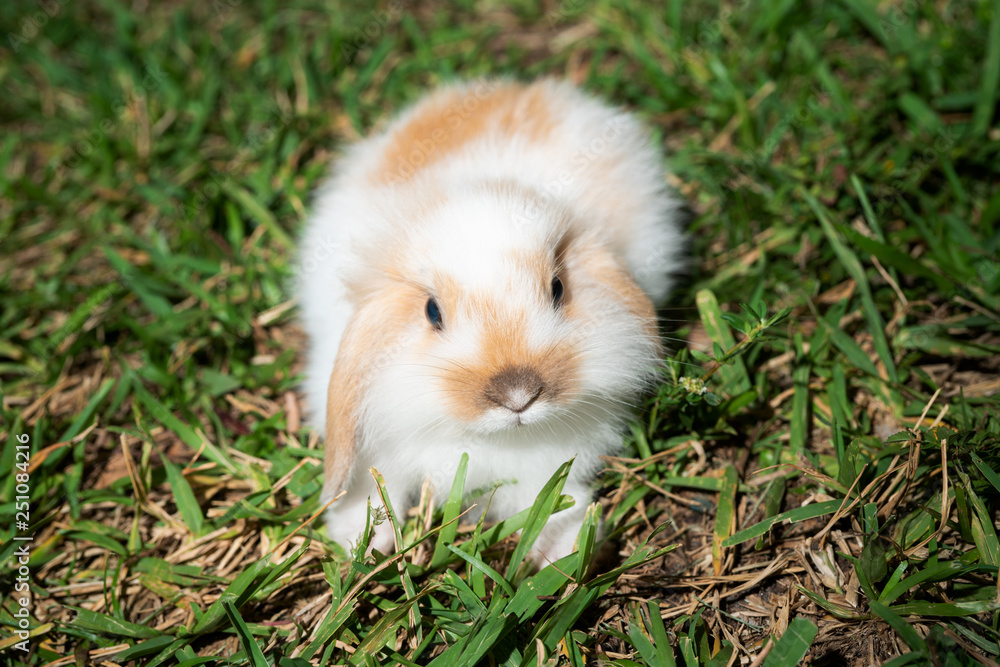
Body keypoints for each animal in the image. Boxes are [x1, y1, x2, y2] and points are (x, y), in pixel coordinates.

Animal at [297, 78, 685, 563]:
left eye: (558, 288)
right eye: (432, 311)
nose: (517, 395)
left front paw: (568, 548)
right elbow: (371, 486)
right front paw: (361, 543)